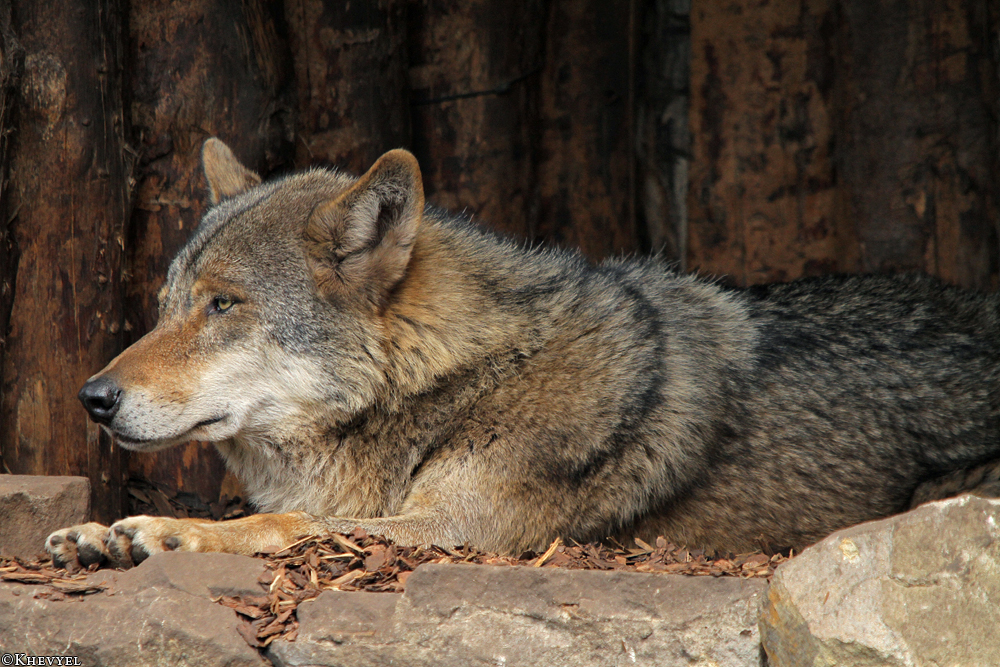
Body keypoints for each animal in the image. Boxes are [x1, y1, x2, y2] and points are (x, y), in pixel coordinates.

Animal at [46, 137, 1000, 569]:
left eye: (224, 305)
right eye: (166, 306)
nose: (92, 397)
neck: (467, 379)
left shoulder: (459, 532)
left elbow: (288, 523)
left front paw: (160, 530)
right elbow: (280, 516)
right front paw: (99, 530)